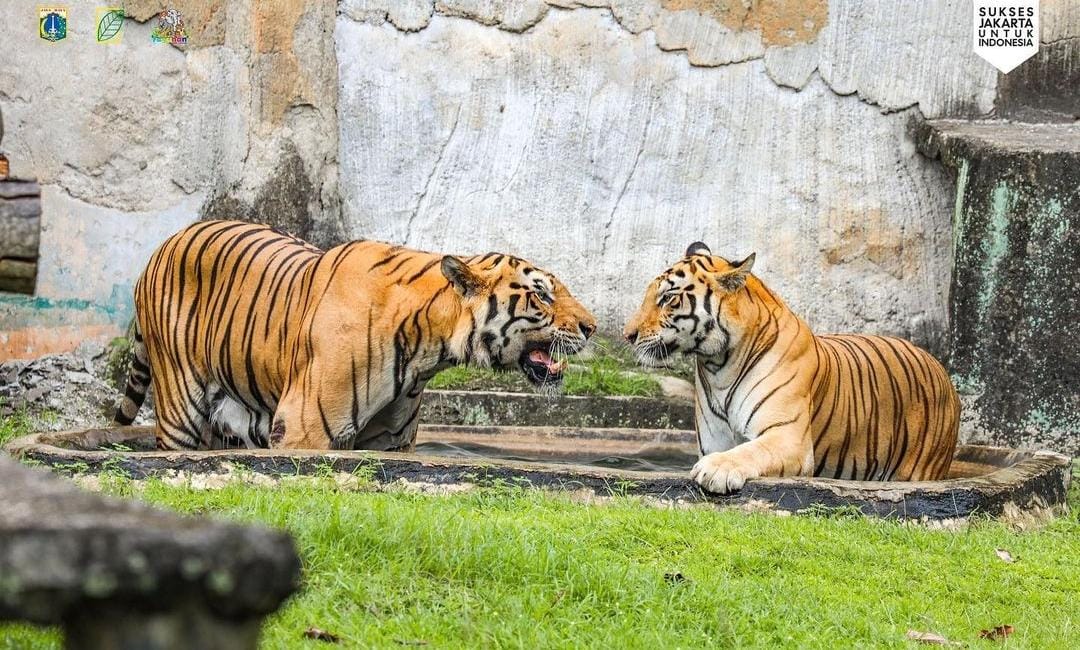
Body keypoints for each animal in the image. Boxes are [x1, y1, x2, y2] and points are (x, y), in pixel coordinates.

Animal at [116, 220, 600, 447]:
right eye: (542, 295)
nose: (592, 328)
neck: (429, 349)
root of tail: (160, 247)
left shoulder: (389, 442)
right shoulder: (304, 430)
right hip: (180, 406)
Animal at [626, 241, 963, 490]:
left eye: (668, 299)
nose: (627, 335)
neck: (717, 365)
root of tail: (940, 368)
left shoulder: (788, 437)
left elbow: (751, 449)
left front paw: (716, 470)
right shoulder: (714, 440)